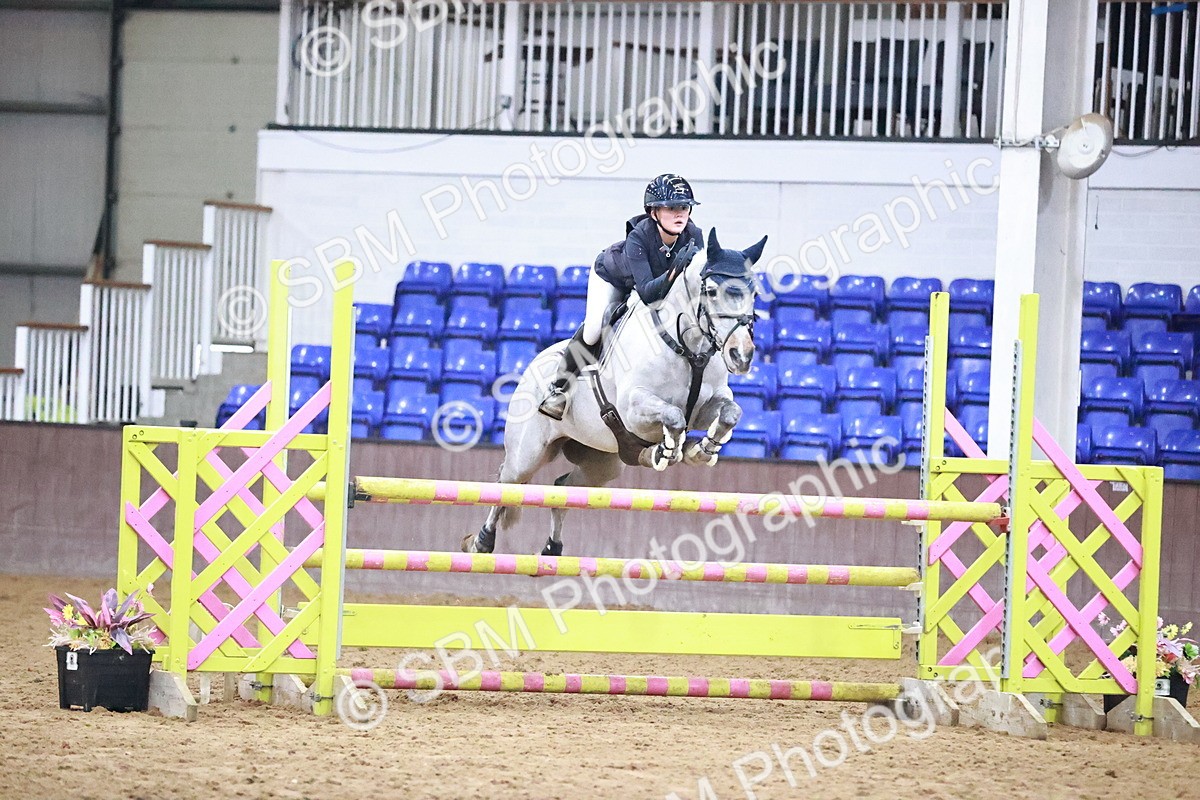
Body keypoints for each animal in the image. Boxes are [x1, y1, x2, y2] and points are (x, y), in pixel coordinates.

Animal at [461, 228, 767, 557]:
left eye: (754, 293)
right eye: (711, 291)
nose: (741, 355)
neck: (687, 348)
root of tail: (531, 366)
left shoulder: (707, 406)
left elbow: (730, 412)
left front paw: (702, 449)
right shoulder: (634, 409)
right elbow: (673, 416)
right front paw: (667, 450)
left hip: (601, 464)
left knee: (562, 488)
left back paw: (552, 548)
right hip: (527, 454)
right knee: (508, 484)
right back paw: (481, 541)